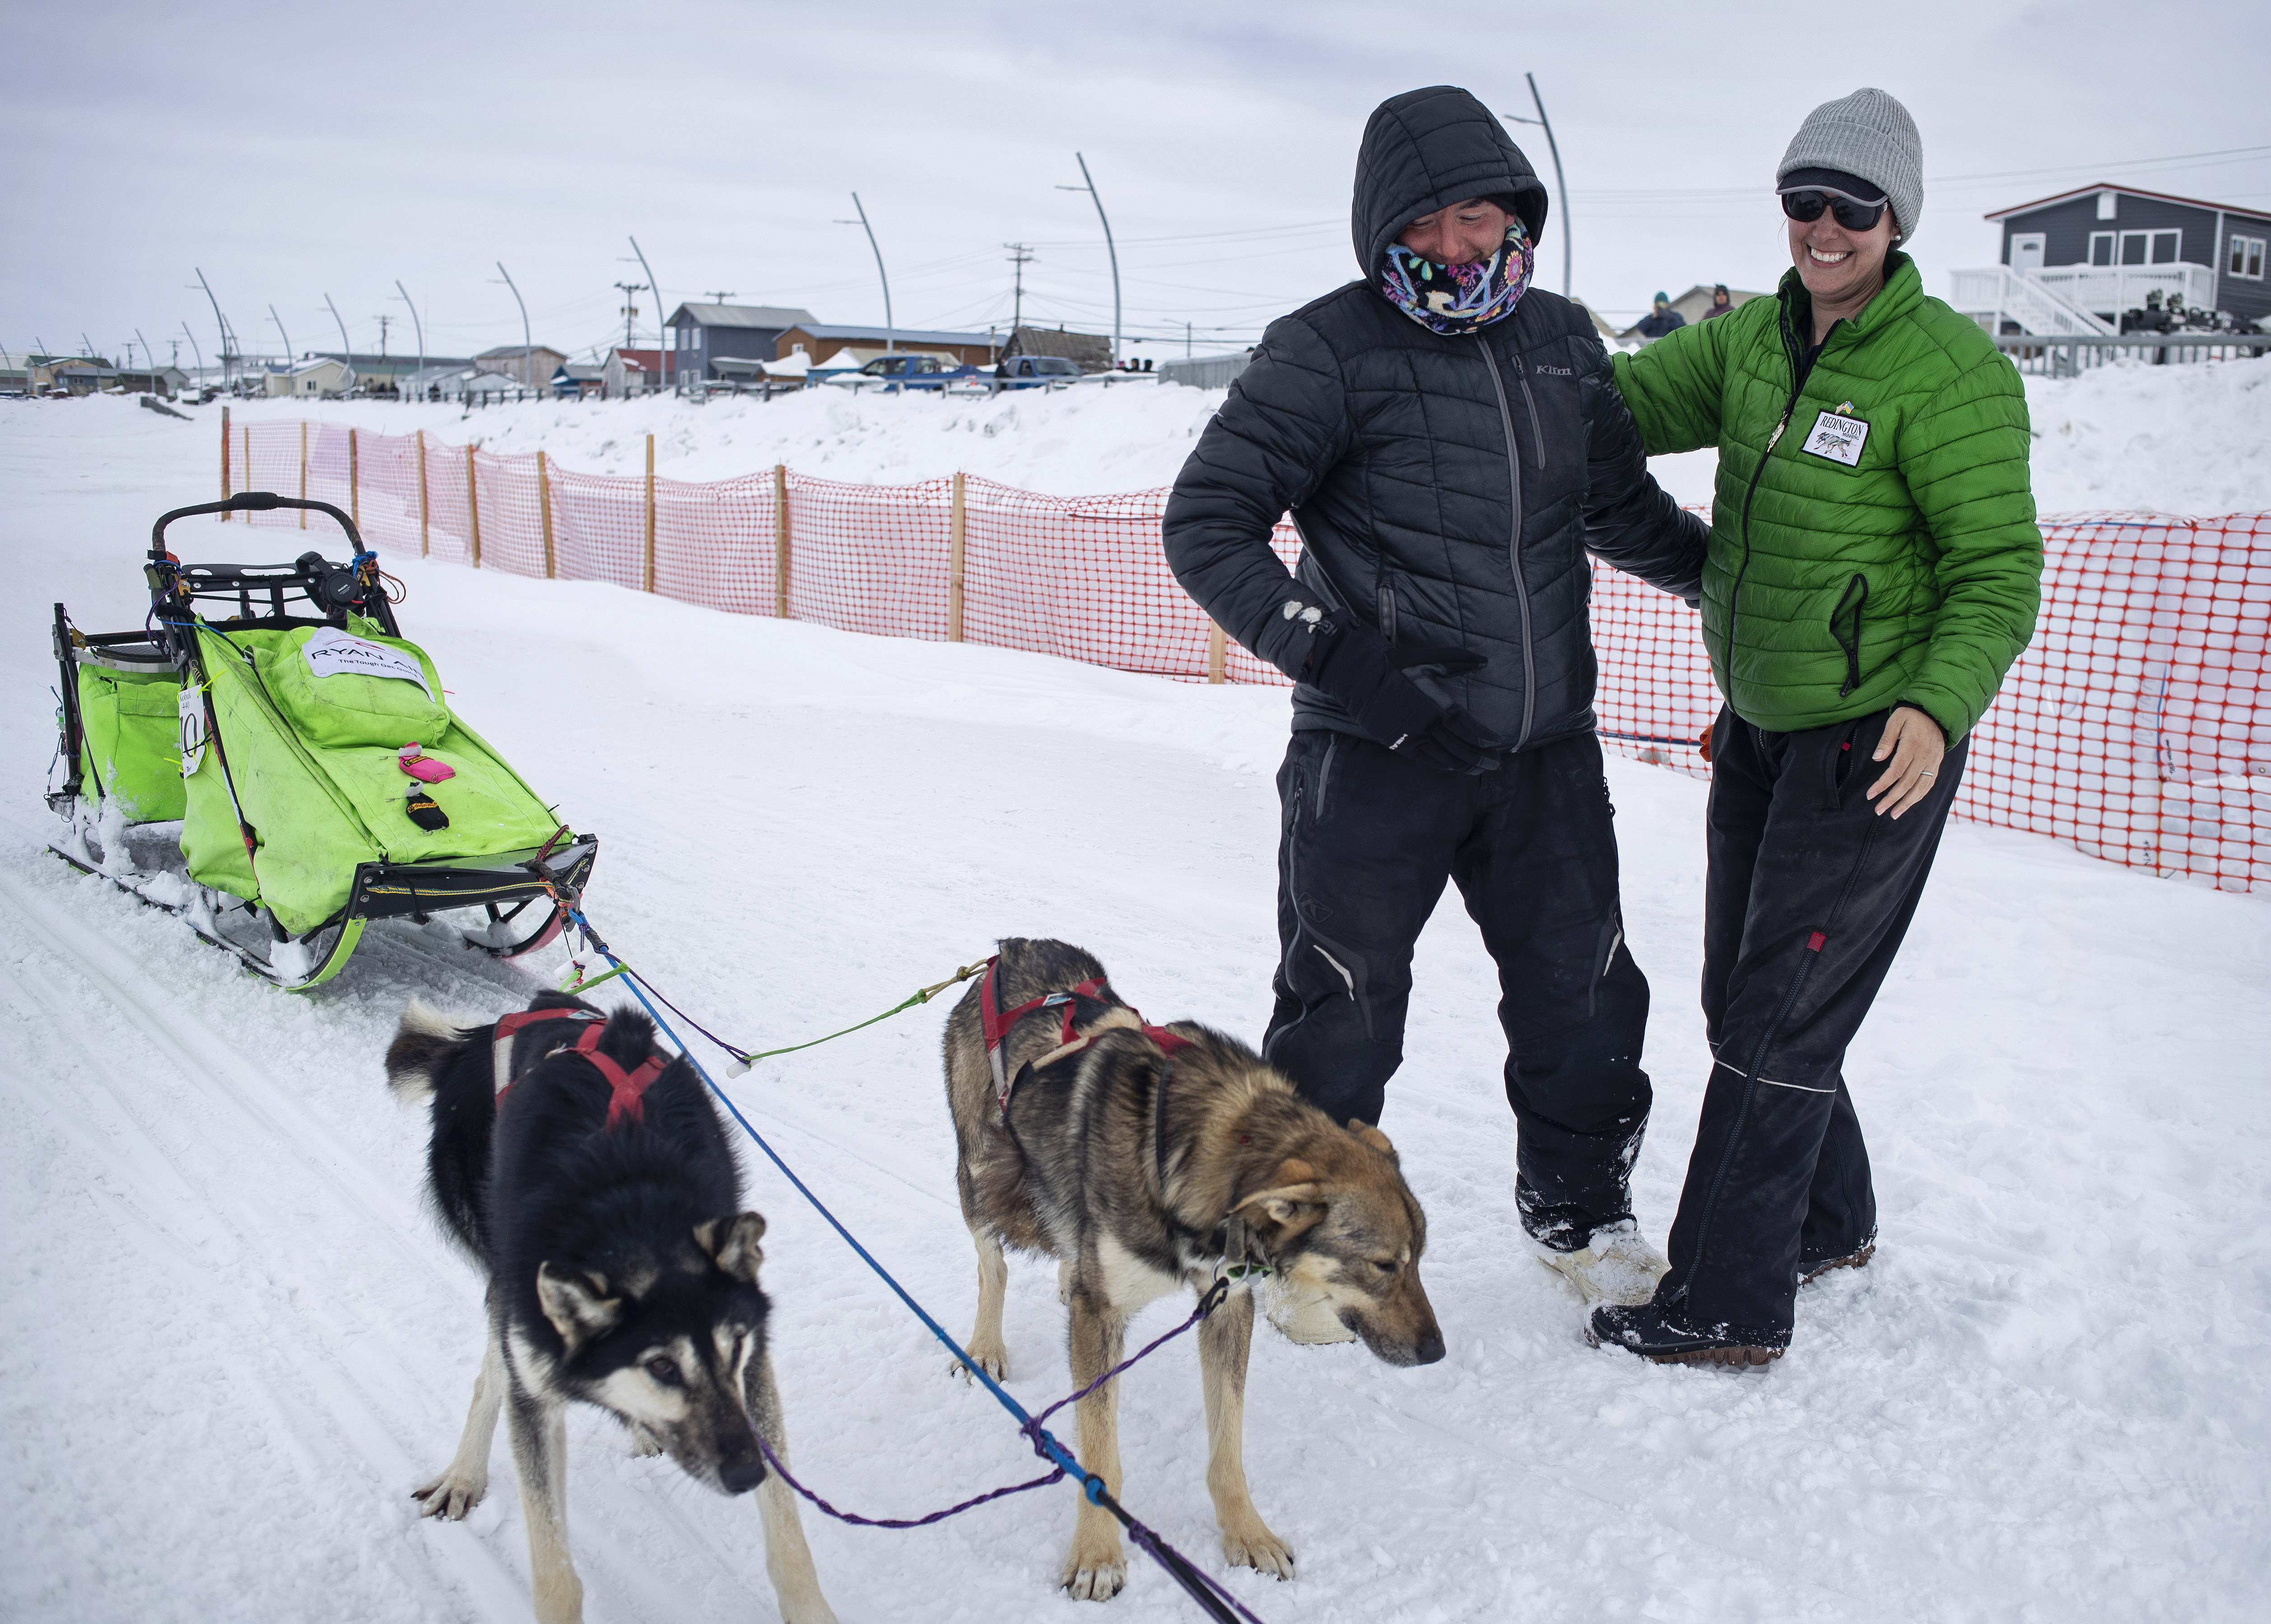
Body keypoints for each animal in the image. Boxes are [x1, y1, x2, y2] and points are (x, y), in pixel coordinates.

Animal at [386, 990, 840, 1624]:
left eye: (734, 1350)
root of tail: (475, 1038)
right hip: (507, 1288)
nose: (748, 1472)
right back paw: (463, 1476)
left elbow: (788, 1539)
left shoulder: (753, 1371)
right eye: (662, 1366)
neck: (632, 1210)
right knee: (490, 1376)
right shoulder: (534, 1378)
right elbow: (554, 1573)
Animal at [945, 940, 1444, 1599]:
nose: (1437, 1351)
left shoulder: (1227, 1304)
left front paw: (1246, 1533)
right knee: (991, 1263)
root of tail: (1014, 947)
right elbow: (1099, 1451)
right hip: (980, 1174)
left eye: (1419, 1259)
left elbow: (1226, 1448)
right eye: (1383, 1264)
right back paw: (984, 1346)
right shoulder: (1100, 1315)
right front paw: (1097, 1552)